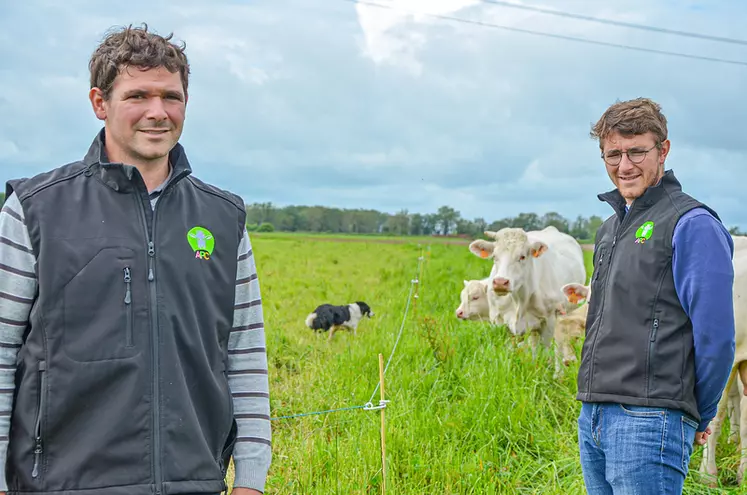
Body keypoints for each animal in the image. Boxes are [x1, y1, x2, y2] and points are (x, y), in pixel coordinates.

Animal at [468, 228, 592, 360]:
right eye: (495, 257)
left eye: (522, 257)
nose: (500, 282)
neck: (518, 299)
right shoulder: (499, 322)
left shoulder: (549, 322)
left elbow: (544, 352)